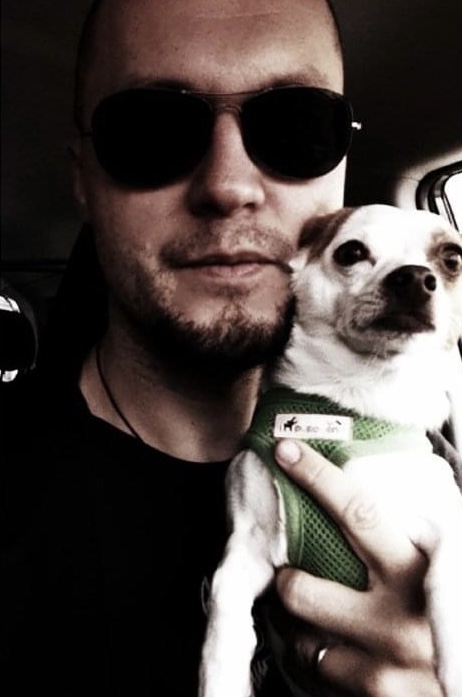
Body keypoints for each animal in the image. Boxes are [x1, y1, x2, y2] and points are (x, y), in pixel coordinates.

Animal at [199, 204, 462, 697]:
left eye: (453, 259)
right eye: (351, 252)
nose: (414, 277)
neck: (354, 400)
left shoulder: (448, 518)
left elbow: (448, 578)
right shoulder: (246, 550)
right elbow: (225, 624)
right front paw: (220, 680)